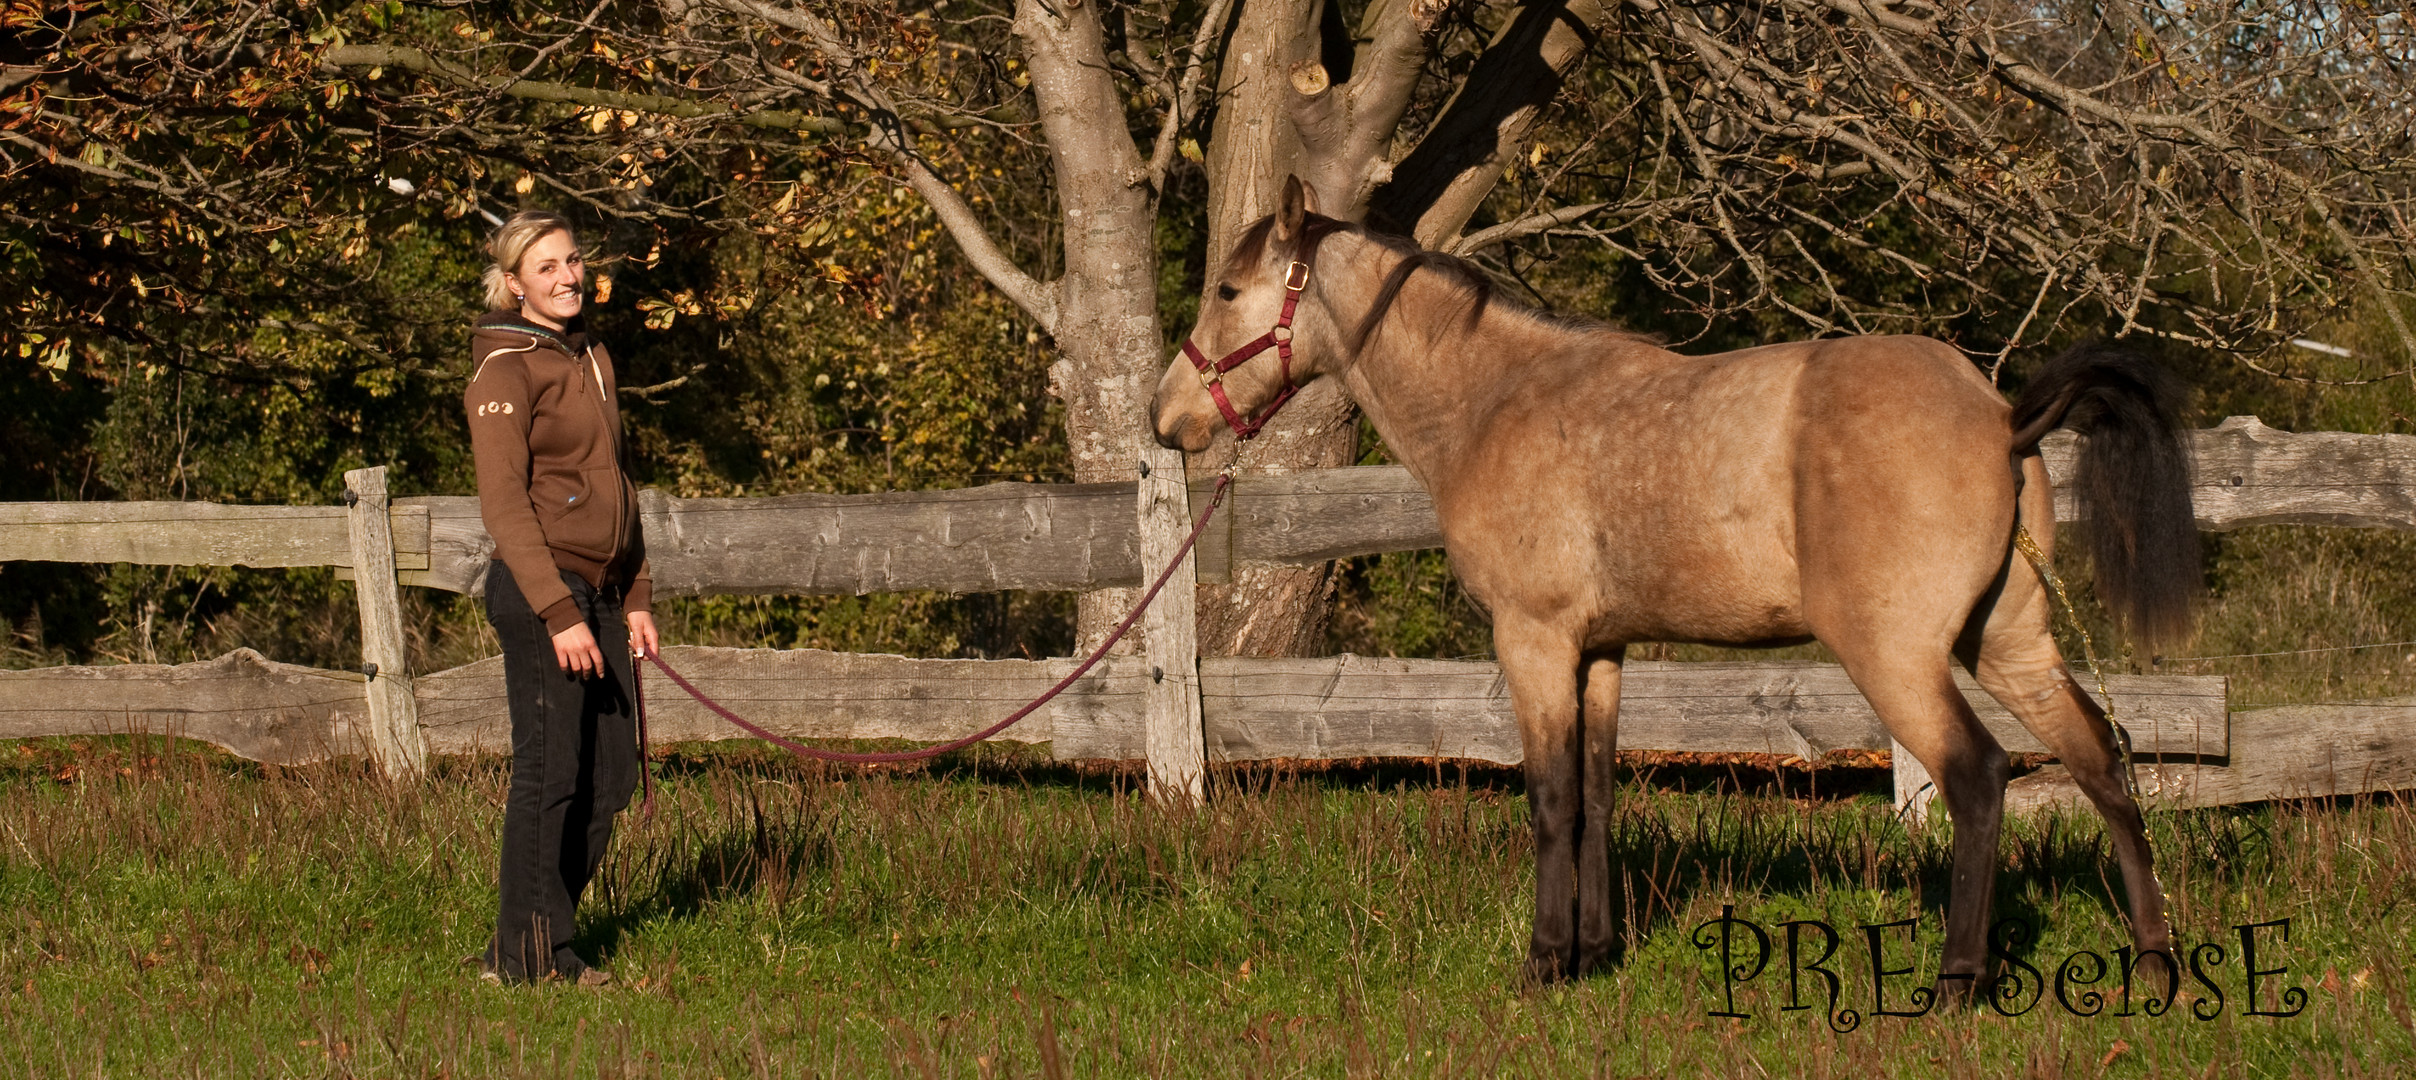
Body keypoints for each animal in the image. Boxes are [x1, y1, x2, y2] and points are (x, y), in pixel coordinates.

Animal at [1159, 177, 2203, 995]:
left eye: (1229, 288)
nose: (1168, 419)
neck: (1497, 401)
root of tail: (2001, 412)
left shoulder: (1533, 641)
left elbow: (1550, 800)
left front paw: (1540, 967)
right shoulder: (1601, 652)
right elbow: (1596, 797)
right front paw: (1592, 957)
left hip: (1898, 656)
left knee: (1979, 778)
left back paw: (1956, 984)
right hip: (2009, 641)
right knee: (2102, 760)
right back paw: (2155, 965)